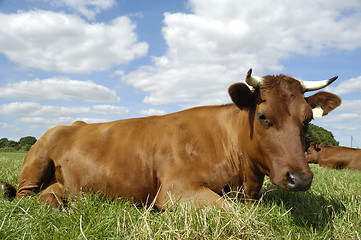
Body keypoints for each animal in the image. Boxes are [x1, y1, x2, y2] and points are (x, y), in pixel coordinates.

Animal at [0, 68, 340, 209]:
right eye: (263, 116)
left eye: (308, 120)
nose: (300, 178)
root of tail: (72, 123)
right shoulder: (175, 189)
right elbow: (229, 211)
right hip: (37, 160)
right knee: (22, 197)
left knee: (52, 192)